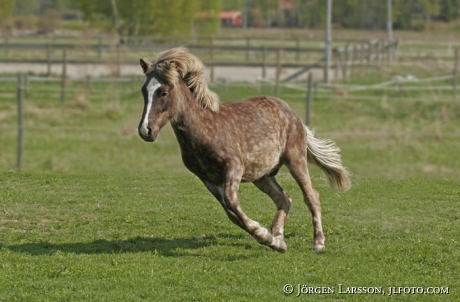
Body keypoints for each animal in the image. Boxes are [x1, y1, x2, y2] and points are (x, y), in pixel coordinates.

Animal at [138, 47, 350, 252]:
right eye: (144, 91)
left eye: (163, 92)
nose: (145, 130)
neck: (205, 127)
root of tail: (294, 115)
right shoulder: (208, 179)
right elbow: (232, 214)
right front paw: (271, 240)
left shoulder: (234, 168)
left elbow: (232, 203)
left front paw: (262, 234)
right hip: (262, 175)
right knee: (284, 199)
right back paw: (278, 239)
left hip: (295, 160)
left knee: (311, 196)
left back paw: (318, 243)